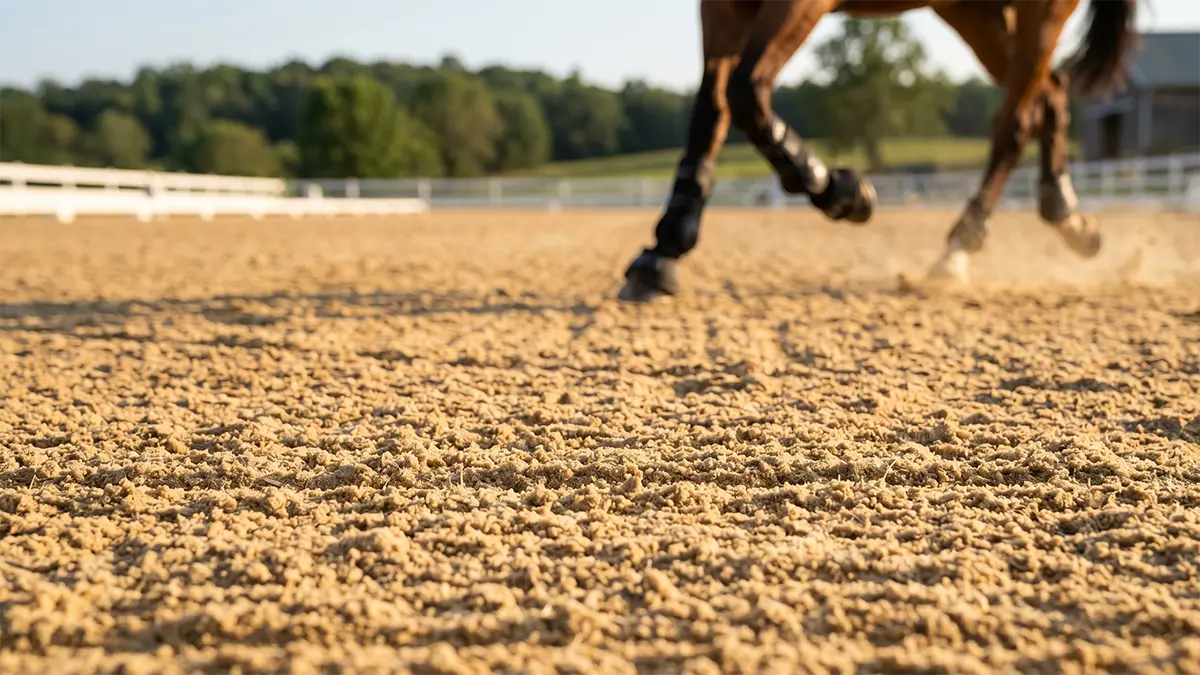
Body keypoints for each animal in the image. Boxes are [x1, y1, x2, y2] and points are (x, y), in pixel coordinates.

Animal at [616, 0, 1138, 301]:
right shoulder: (722, 3)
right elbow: (711, 110)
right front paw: (663, 251)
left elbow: (744, 92)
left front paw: (842, 191)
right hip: (974, 9)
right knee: (1050, 96)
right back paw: (1070, 219)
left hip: (1040, 9)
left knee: (1016, 121)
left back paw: (959, 249)